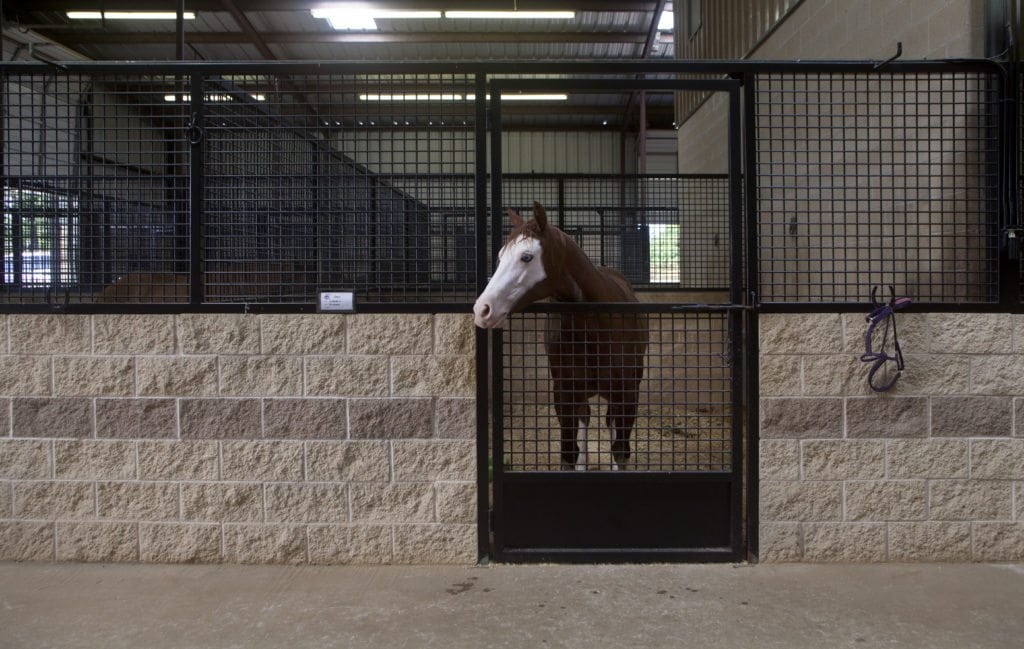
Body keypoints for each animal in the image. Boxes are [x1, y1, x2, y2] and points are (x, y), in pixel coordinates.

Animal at [473, 202, 647, 470]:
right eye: (501, 256)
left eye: (526, 256)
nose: (483, 309)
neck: (595, 327)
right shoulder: (564, 393)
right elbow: (568, 452)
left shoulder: (627, 393)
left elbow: (620, 451)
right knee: (585, 418)